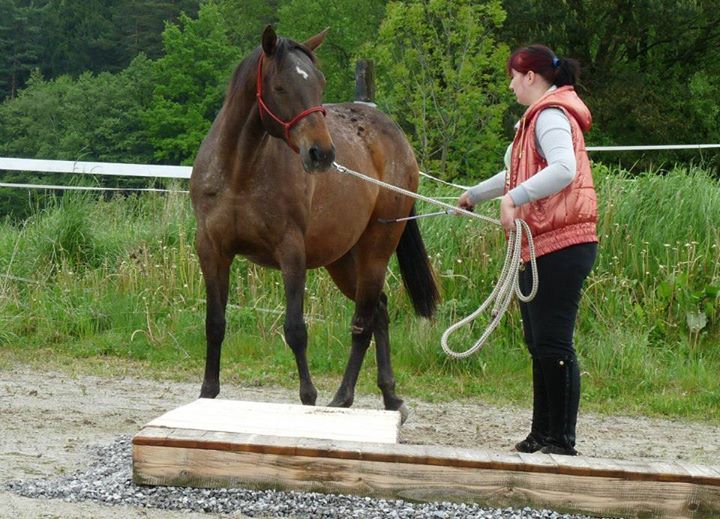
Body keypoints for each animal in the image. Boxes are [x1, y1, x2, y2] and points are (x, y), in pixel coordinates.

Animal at [191, 26, 438, 420]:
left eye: (320, 83)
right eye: (279, 87)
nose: (321, 153)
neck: (240, 171)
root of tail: (394, 135)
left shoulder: (292, 253)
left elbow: (296, 329)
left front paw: (308, 398)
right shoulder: (212, 251)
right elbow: (215, 324)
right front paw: (208, 395)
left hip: (374, 251)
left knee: (363, 322)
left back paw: (344, 397)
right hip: (343, 260)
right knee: (379, 310)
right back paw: (388, 396)